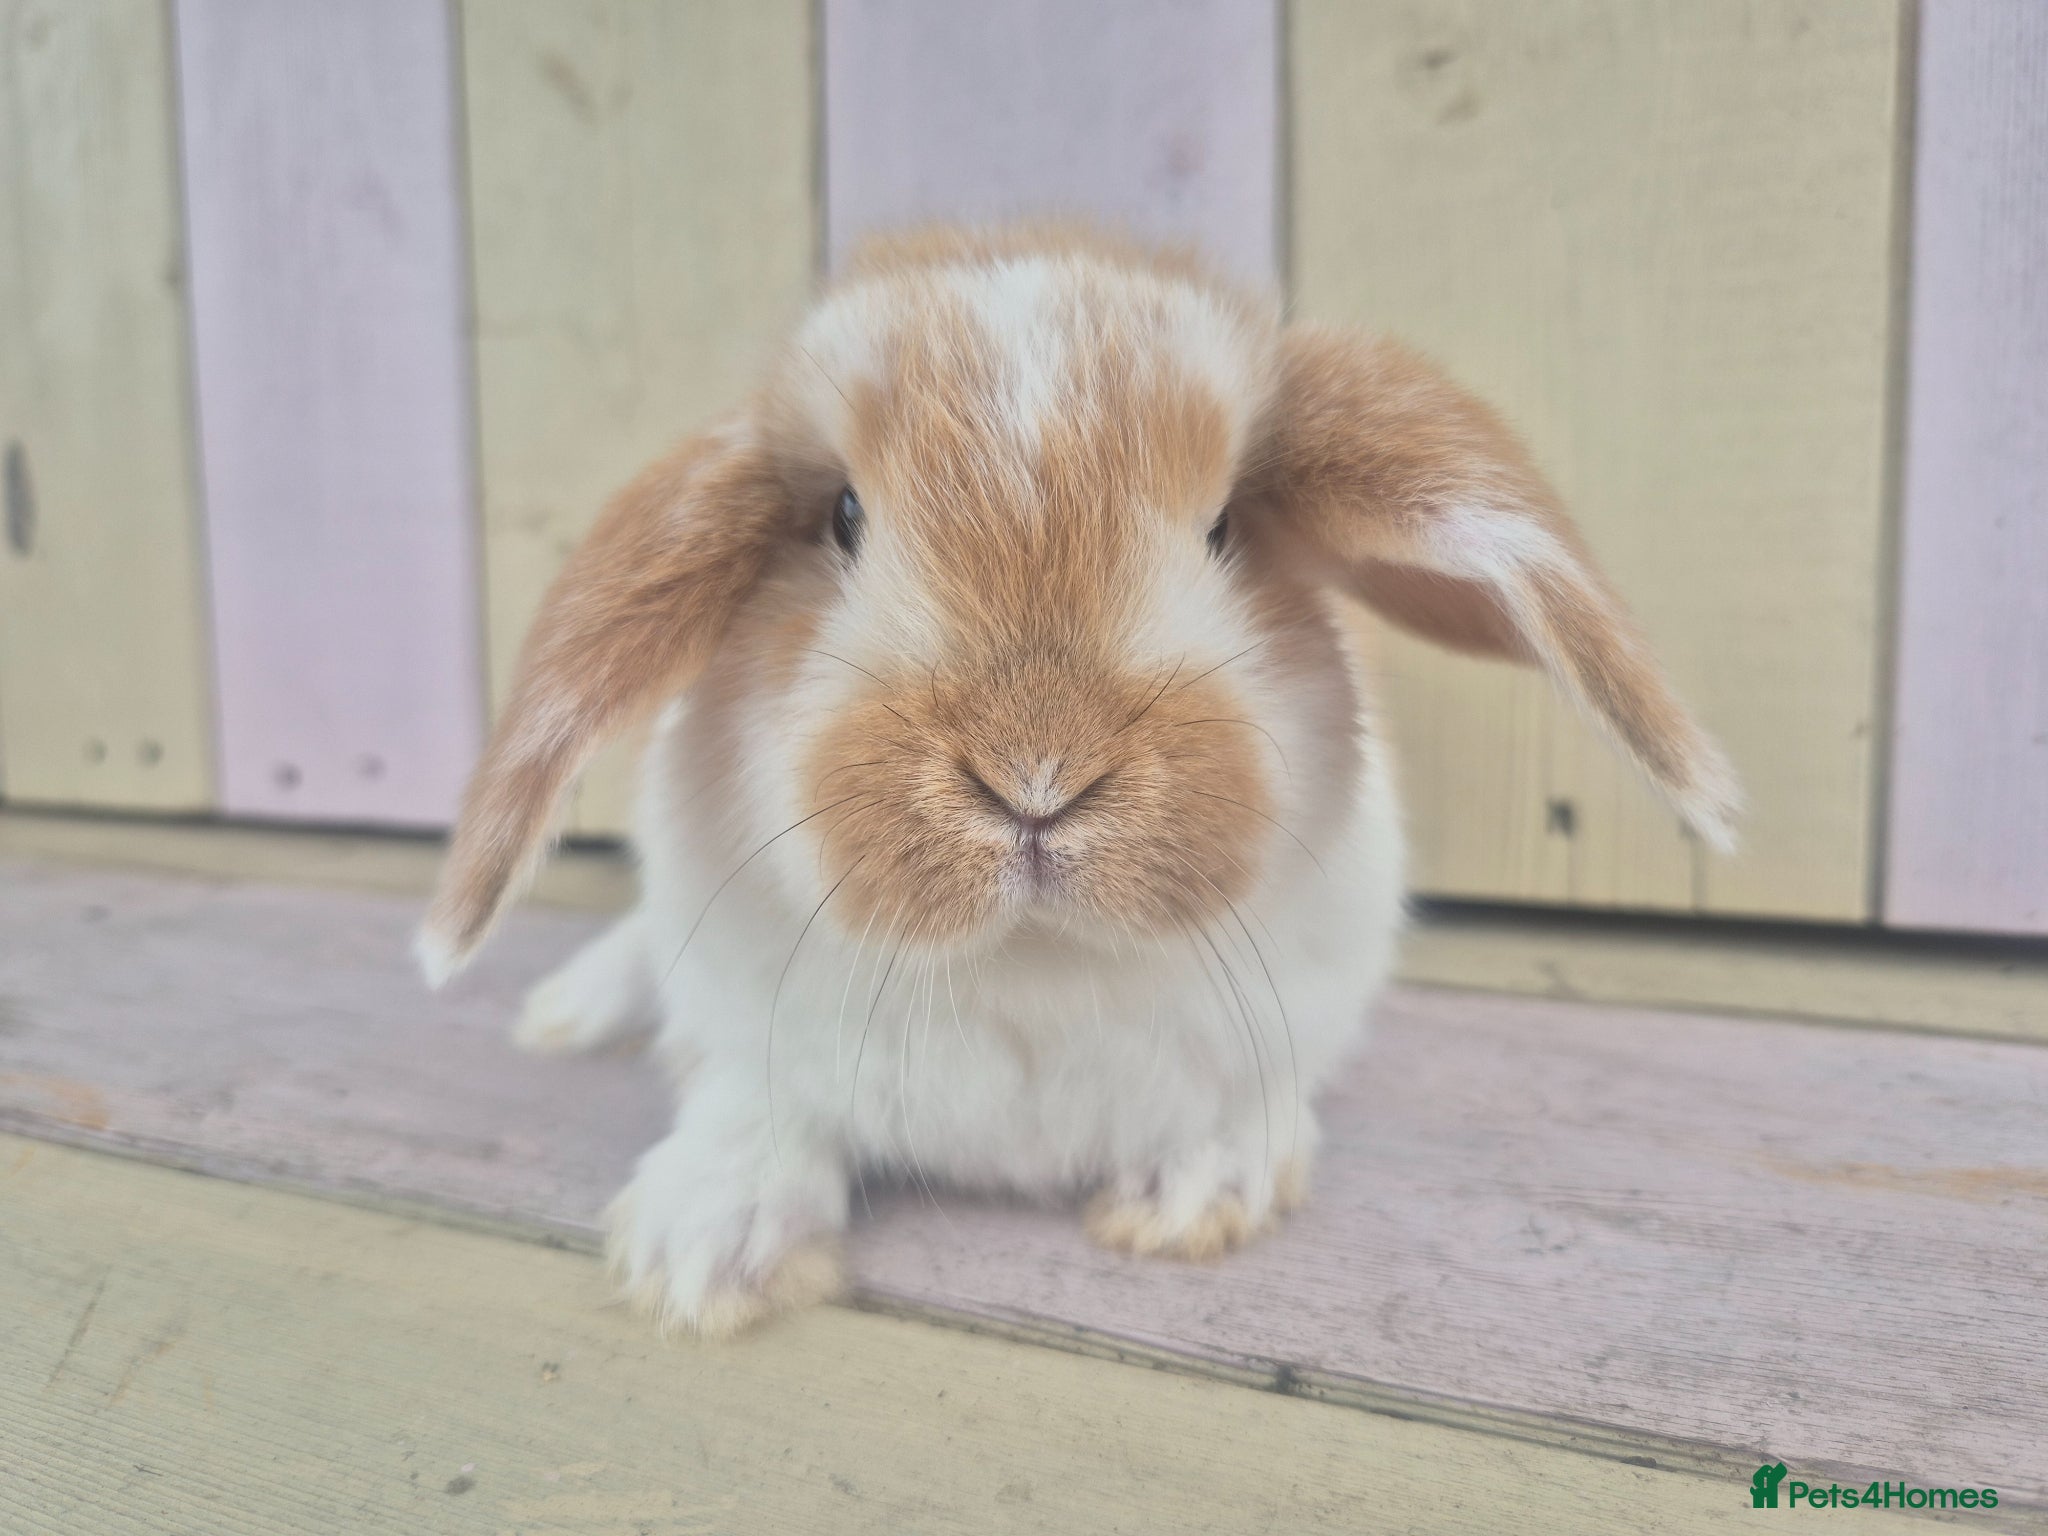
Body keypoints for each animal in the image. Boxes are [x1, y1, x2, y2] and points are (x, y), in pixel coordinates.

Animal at [417, 223, 1737, 1337]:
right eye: (842, 516)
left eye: (1221, 529)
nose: (1035, 771)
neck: (1033, 964)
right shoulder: (747, 1030)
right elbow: (755, 1108)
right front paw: (698, 1250)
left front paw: (1199, 1193)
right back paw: (565, 1015)